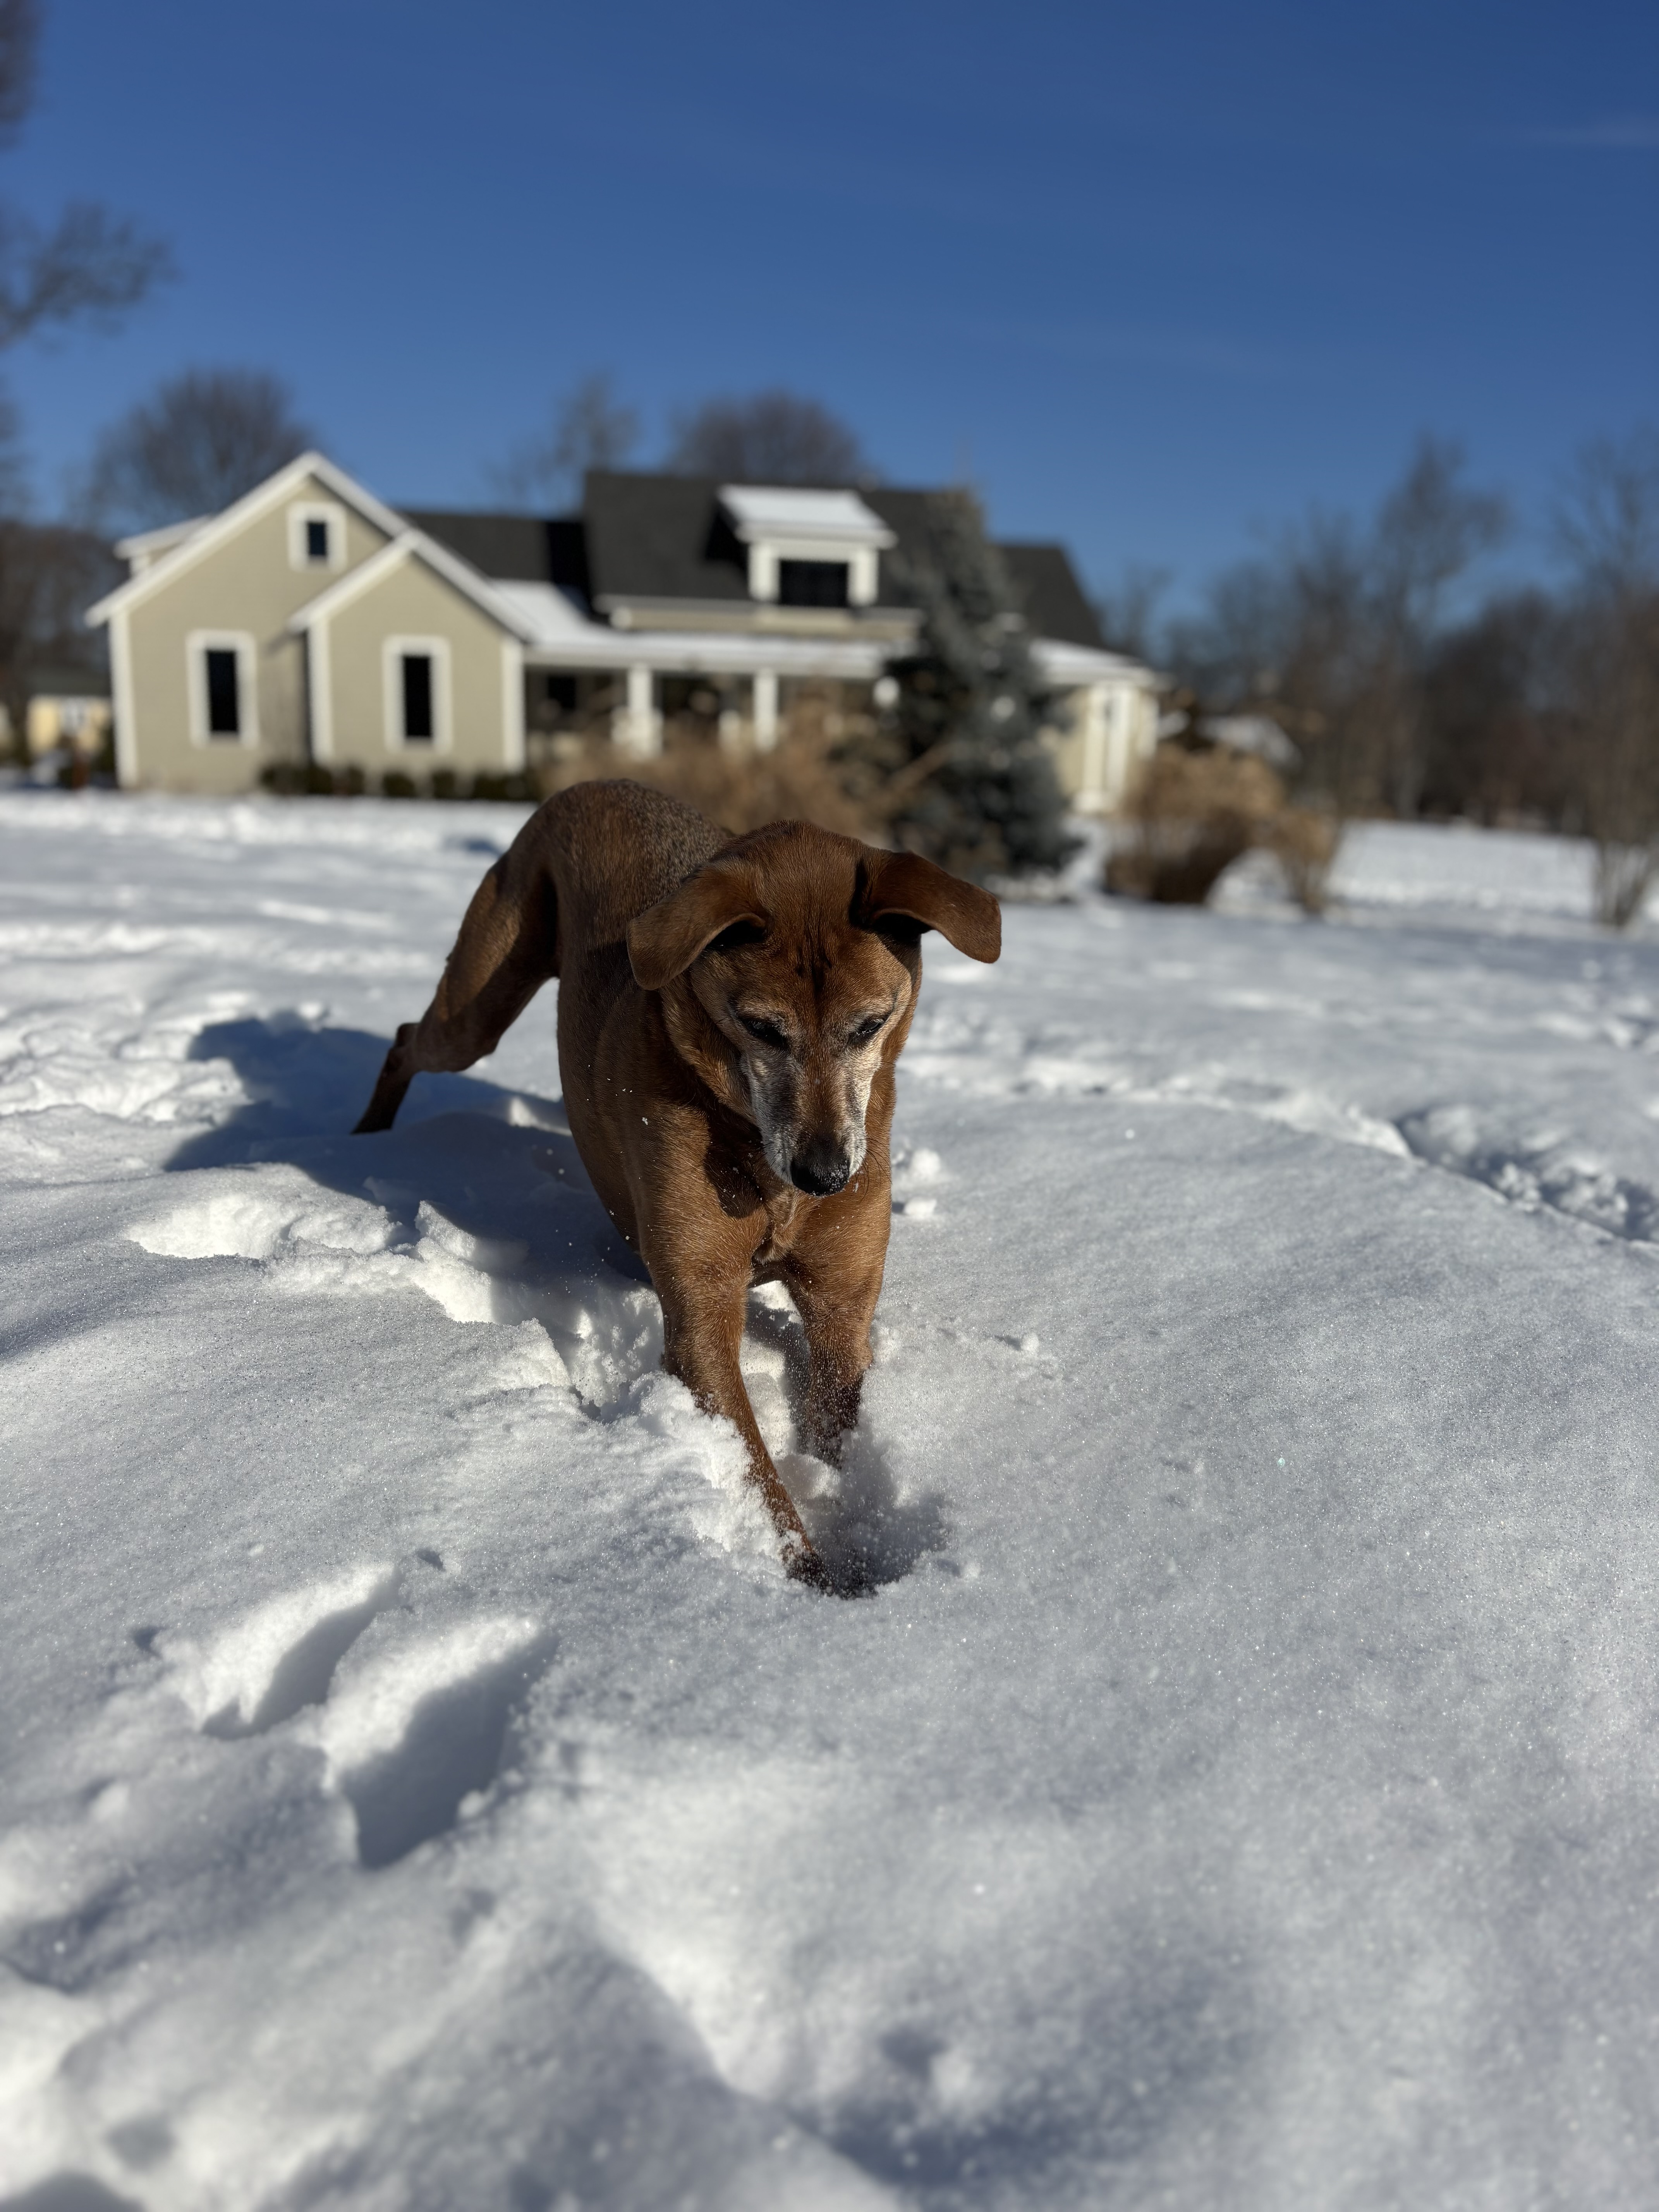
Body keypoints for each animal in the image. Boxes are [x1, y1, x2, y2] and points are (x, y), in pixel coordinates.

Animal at [355, 780, 1001, 1586]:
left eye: (869, 1024)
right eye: (762, 1028)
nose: (824, 1175)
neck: (760, 1164)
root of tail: (594, 785)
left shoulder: (841, 1304)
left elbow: (839, 1427)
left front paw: (857, 1534)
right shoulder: (701, 1315)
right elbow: (754, 1467)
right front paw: (808, 1571)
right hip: (480, 1001)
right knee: (407, 1038)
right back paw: (367, 1138)